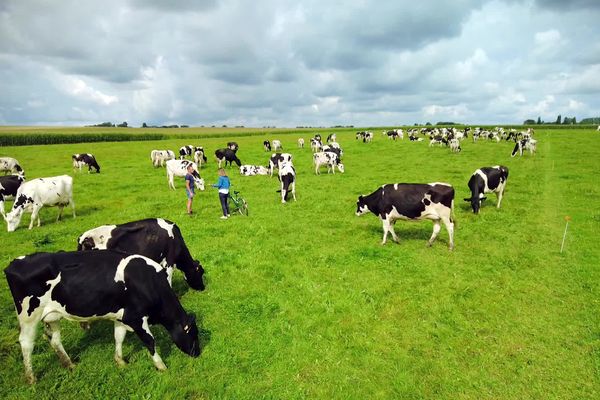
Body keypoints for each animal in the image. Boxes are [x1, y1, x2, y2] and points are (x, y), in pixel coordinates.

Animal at [4, 250, 202, 384]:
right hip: (29, 317)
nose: (197, 354)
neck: (147, 281)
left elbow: (119, 337)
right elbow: (150, 341)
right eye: (194, 336)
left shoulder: (122, 317)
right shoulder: (136, 318)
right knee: (26, 344)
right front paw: (161, 366)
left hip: (52, 316)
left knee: (54, 340)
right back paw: (31, 377)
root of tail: (14, 263)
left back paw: (69, 364)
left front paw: (120, 361)